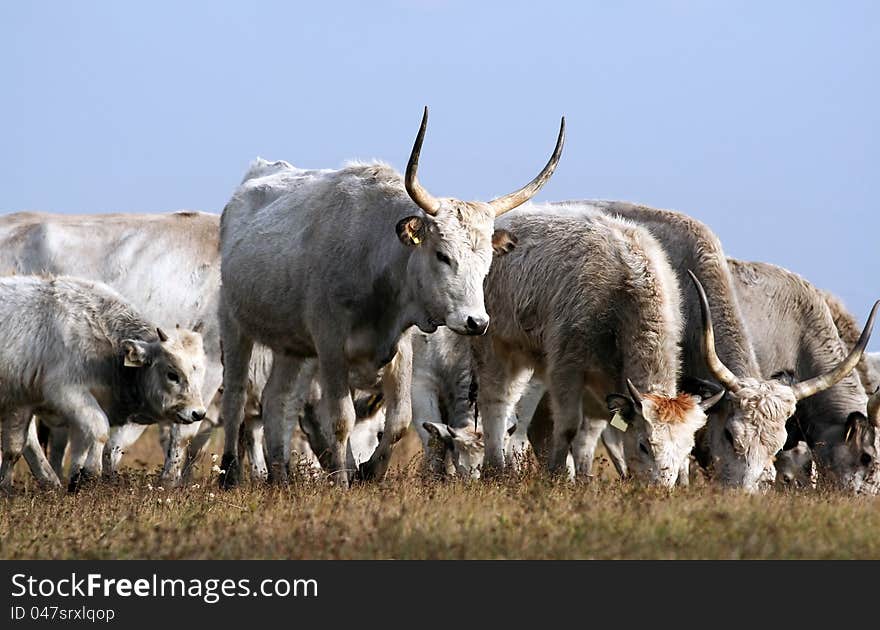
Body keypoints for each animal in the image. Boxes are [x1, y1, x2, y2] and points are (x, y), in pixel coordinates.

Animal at [0, 278, 206, 494]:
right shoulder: (65, 394)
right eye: (172, 374)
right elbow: (99, 430)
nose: (198, 413)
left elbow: (80, 446)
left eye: (200, 374)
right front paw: (90, 474)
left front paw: (77, 479)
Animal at [217, 108, 568, 488]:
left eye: (488, 260)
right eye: (442, 255)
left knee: (276, 400)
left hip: (291, 346)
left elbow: (398, 420)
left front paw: (369, 471)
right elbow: (340, 419)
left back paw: (281, 477)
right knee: (235, 396)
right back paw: (230, 474)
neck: (374, 255)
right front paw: (343, 480)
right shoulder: (331, 347)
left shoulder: (400, 349)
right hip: (233, 325)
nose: (476, 321)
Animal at [468, 209, 720, 488]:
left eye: (687, 451)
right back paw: (494, 469)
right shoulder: (566, 367)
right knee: (496, 401)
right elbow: (568, 426)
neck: (624, 289)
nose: (659, 490)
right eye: (644, 446)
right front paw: (556, 476)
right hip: (493, 344)